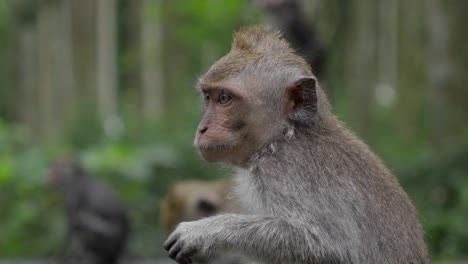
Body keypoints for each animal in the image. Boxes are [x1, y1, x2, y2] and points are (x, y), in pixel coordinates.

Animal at [164, 25, 428, 264]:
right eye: (208, 97)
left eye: (224, 98)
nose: (202, 129)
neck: (285, 136)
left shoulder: (287, 170)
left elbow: (330, 249)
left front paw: (203, 232)